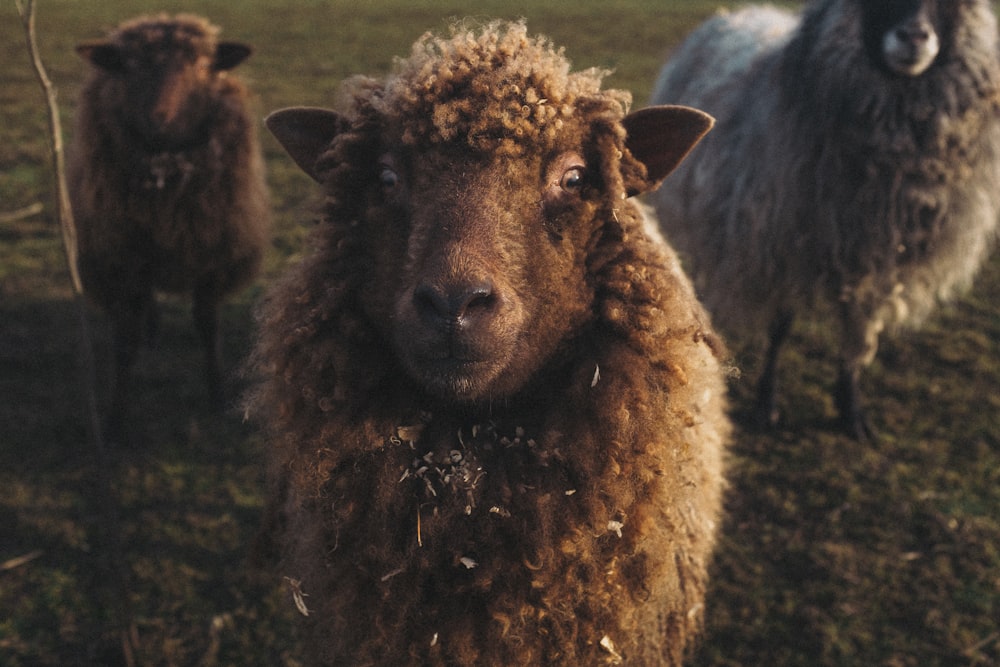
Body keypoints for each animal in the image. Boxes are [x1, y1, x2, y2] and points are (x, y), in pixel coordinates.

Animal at [67, 13, 272, 436]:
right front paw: (115, 418)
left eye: (201, 65)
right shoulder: (125, 263)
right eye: (128, 65)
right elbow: (125, 342)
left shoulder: (211, 258)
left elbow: (209, 329)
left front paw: (218, 395)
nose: (159, 119)